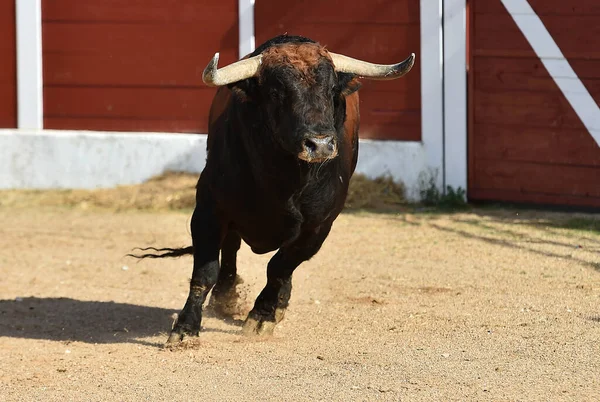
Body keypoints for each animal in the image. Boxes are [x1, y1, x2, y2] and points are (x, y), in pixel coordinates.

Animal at [133, 35, 414, 342]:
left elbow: (280, 267)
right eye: (277, 93)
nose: (320, 144)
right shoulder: (209, 209)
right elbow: (205, 270)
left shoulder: (318, 226)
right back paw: (226, 297)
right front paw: (185, 328)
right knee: (230, 249)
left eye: (331, 90)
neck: (284, 179)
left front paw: (262, 315)